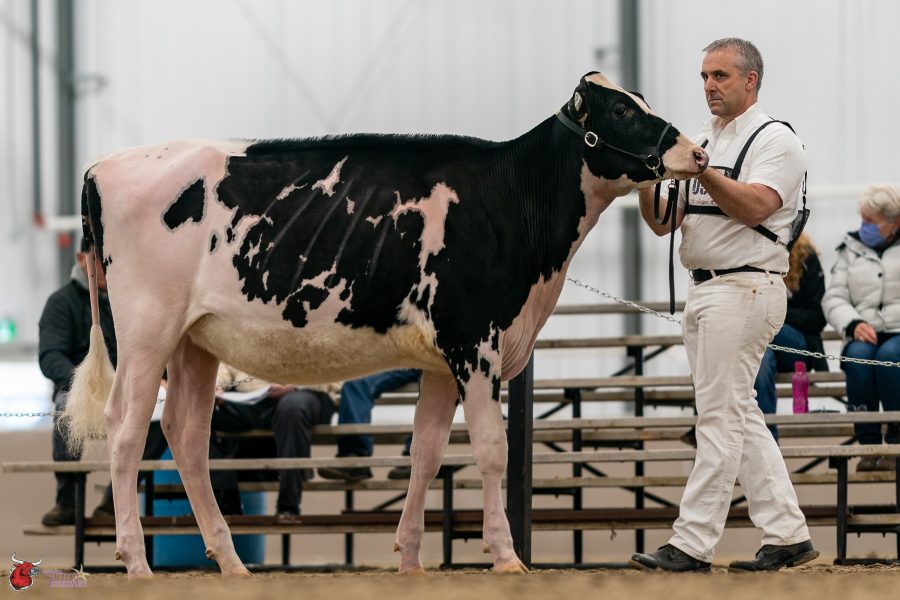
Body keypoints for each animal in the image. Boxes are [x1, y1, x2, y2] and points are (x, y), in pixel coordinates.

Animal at [62, 72, 707, 578]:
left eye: (640, 99)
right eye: (621, 110)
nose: (697, 153)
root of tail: (103, 165)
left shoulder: (442, 359)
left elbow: (427, 450)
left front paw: (410, 561)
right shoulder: (473, 340)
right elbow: (492, 448)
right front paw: (506, 558)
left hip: (194, 338)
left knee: (186, 433)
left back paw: (232, 563)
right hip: (147, 327)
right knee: (126, 429)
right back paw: (137, 563)